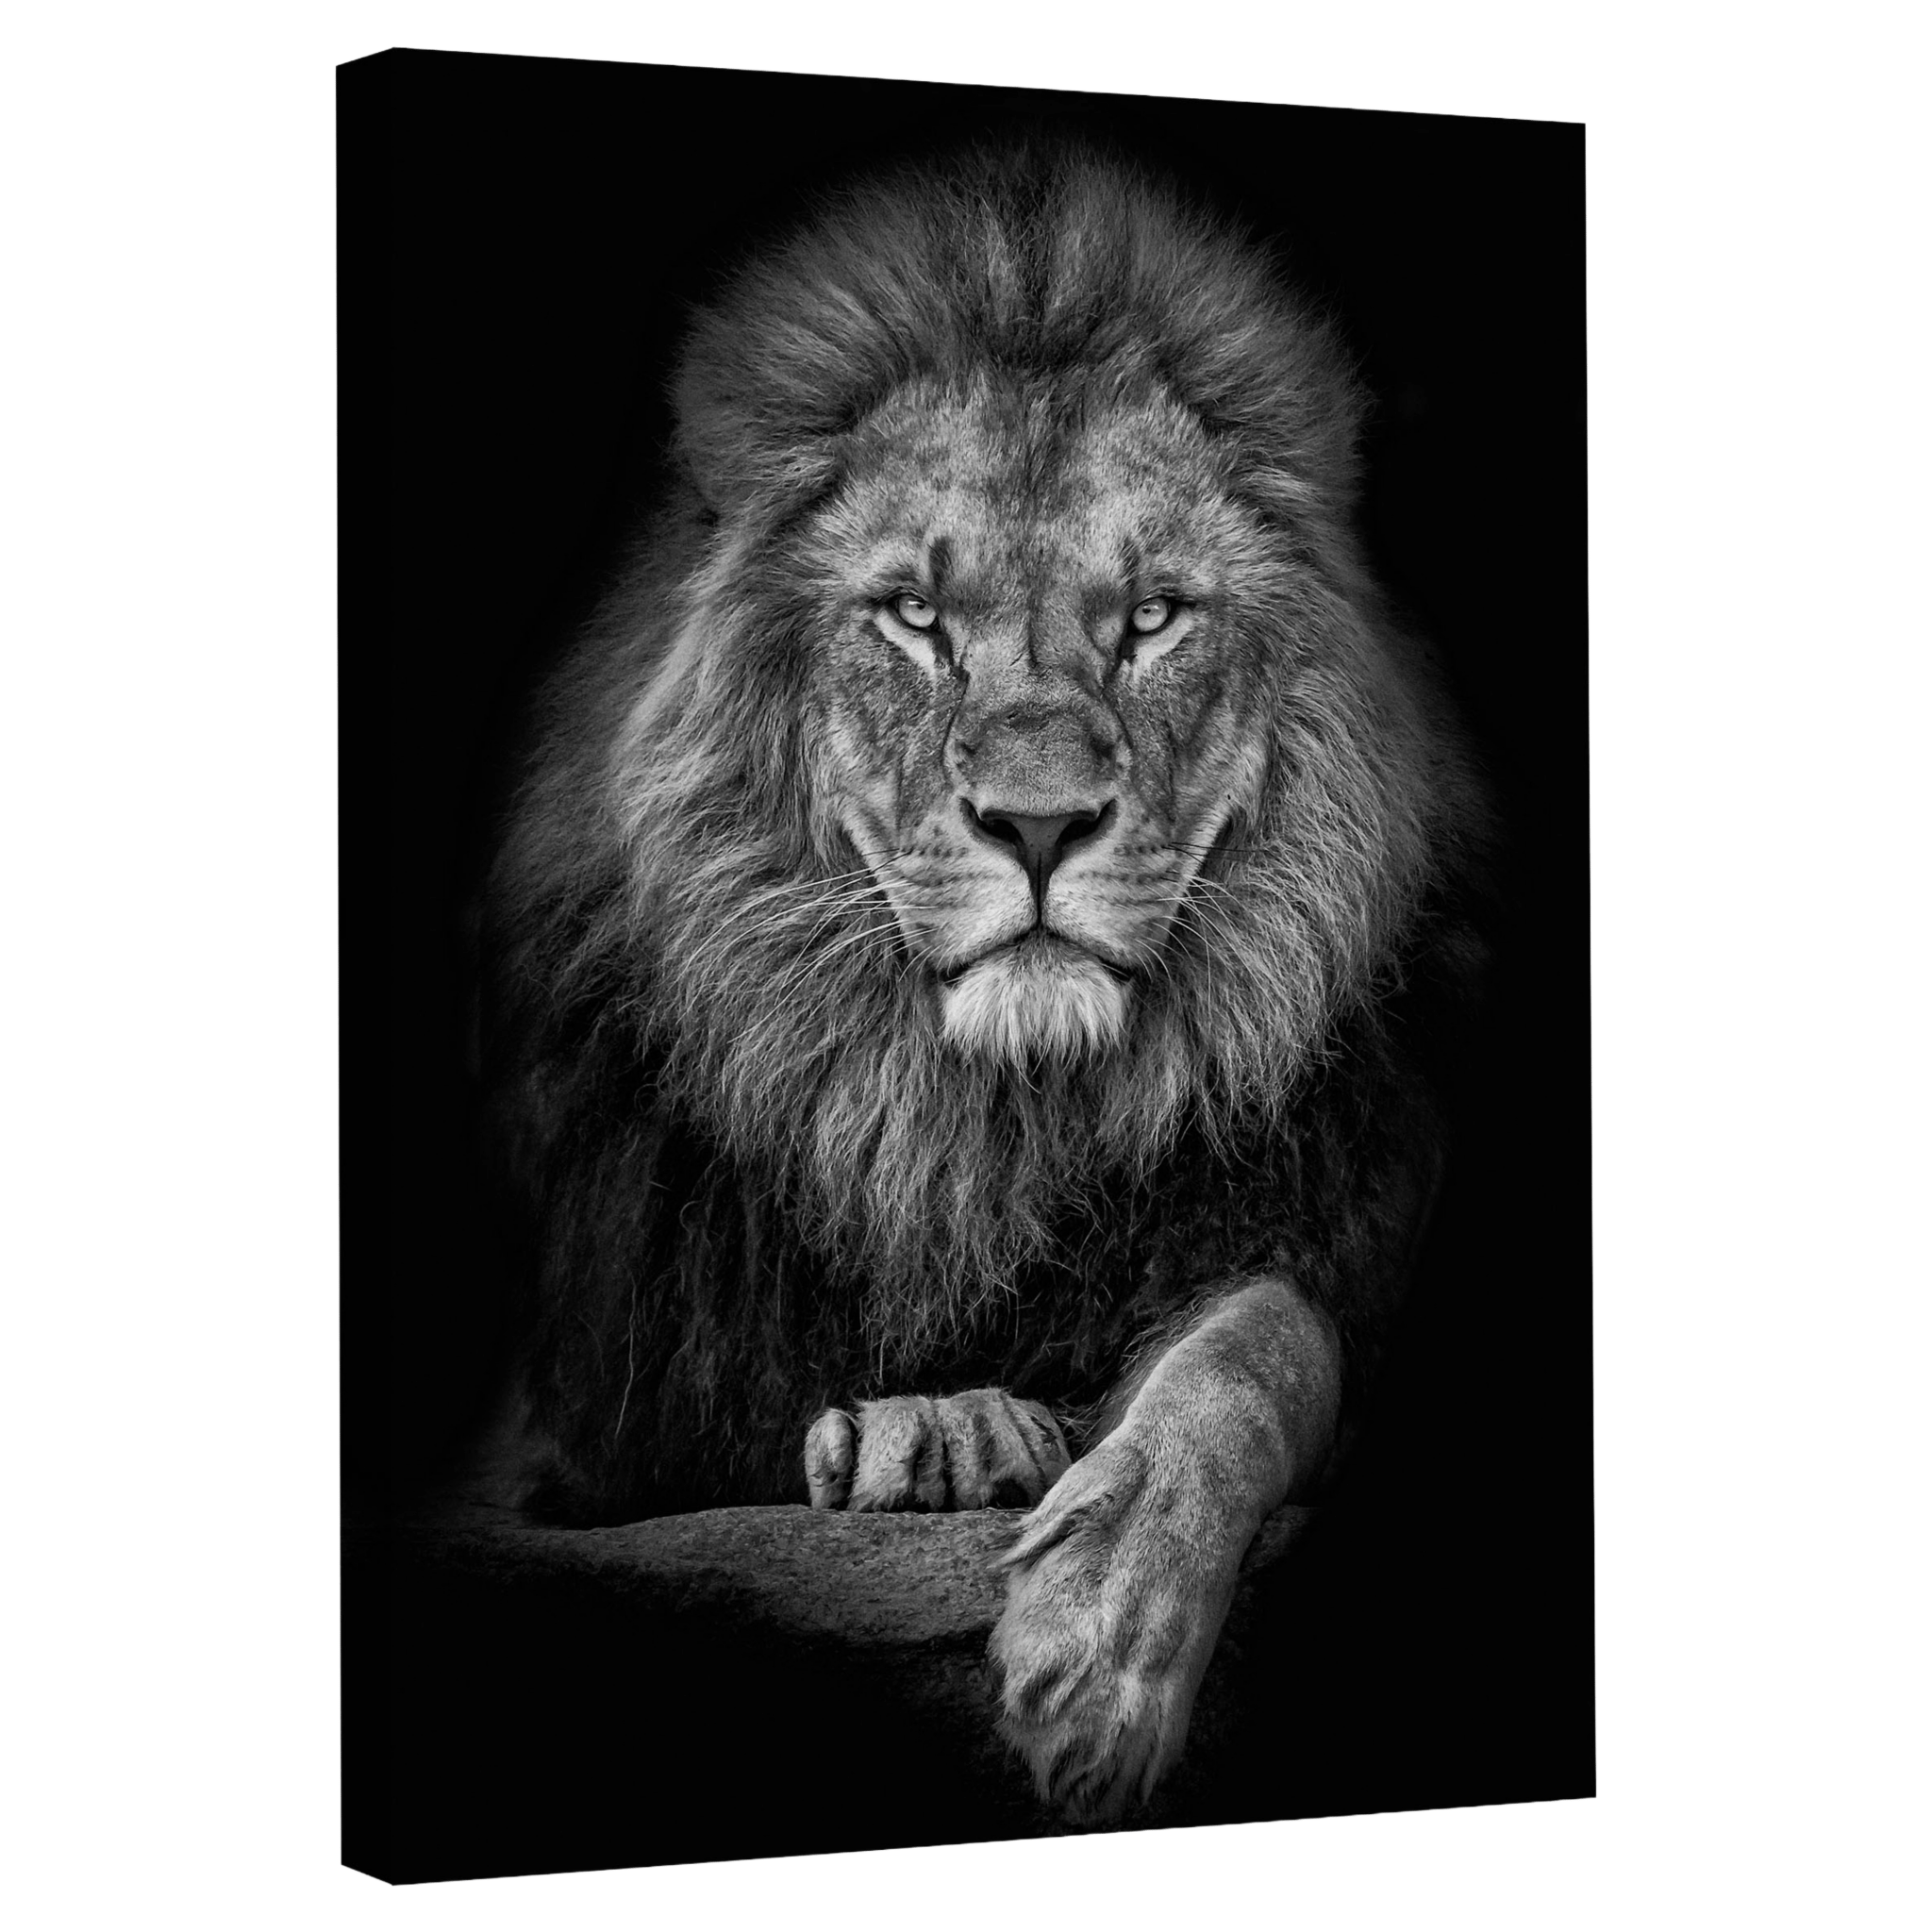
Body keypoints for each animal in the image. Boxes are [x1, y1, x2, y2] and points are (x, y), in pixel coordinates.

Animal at [477, 140, 1491, 1827]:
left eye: (1151, 618)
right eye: (914, 618)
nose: (1036, 822)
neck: (982, 1127)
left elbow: (1258, 1350)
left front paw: (1103, 1645)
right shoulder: (582, 1434)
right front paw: (936, 1433)